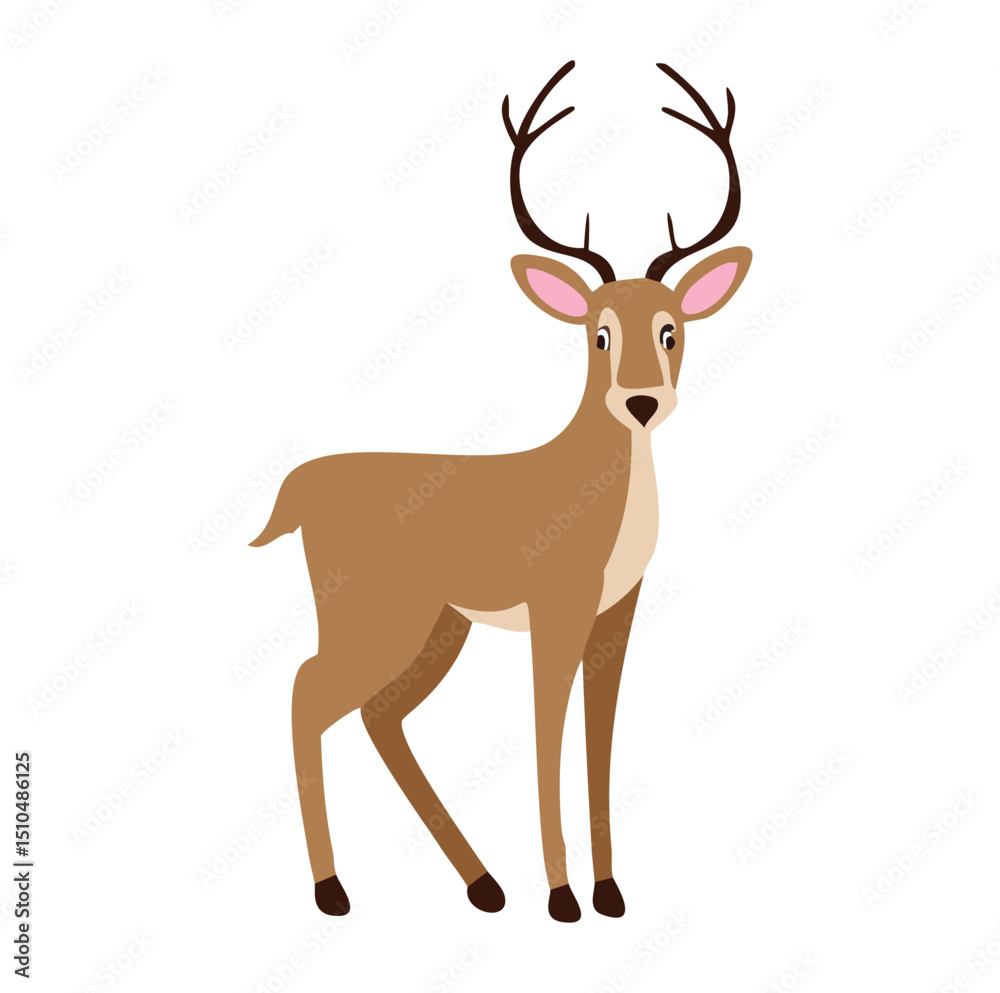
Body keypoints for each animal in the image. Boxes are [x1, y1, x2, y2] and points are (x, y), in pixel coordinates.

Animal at [250, 60, 751, 923]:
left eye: (670, 328)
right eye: (598, 333)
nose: (642, 402)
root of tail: (302, 484)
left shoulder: (615, 614)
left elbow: (597, 737)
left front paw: (609, 891)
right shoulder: (555, 610)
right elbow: (548, 730)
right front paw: (562, 896)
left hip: (436, 627)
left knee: (377, 715)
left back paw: (482, 884)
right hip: (377, 618)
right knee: (307, 691)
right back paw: (333, 890)